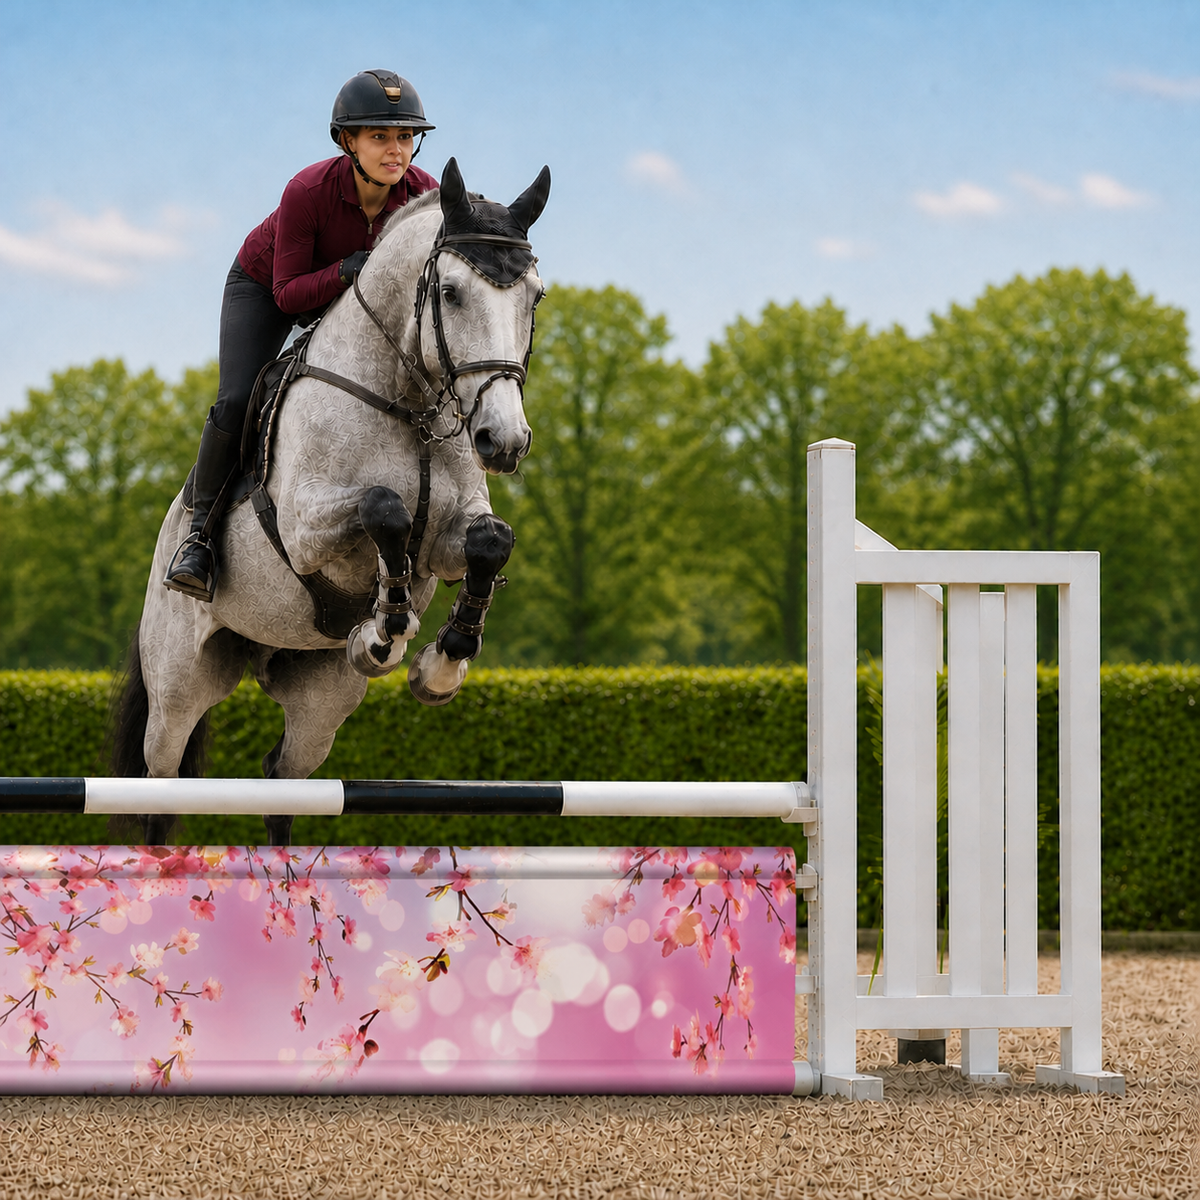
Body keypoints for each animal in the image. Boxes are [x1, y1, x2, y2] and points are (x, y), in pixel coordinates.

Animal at [112, 158, 550, 846]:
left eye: (533, 296)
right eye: (451, 293)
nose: (502, 440)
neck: (407, 401)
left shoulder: (448, 540)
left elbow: (488, 541)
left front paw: (438, 665)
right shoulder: (305, 527)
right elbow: (384, 508)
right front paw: (386, 629)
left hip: (321, 696)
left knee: (282, 779)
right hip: (179, 681)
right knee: (162, 783)